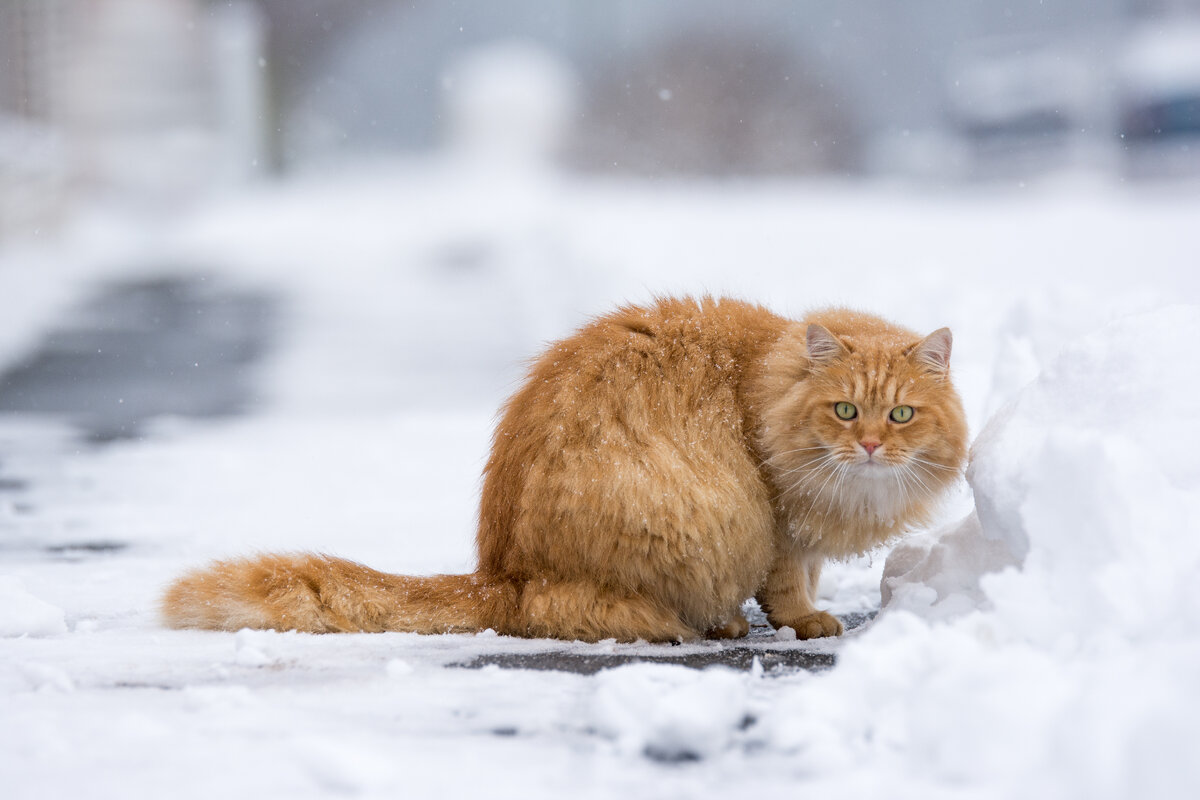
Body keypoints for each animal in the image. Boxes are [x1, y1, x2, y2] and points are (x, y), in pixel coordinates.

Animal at [162, 299, 964, 642]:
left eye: (900, 416)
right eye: (843, 410)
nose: (870, 447)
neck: (763, 387)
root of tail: (501, 574)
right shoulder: (776, 521)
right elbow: (791, 586)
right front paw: (803, 622)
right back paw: (706, 626)